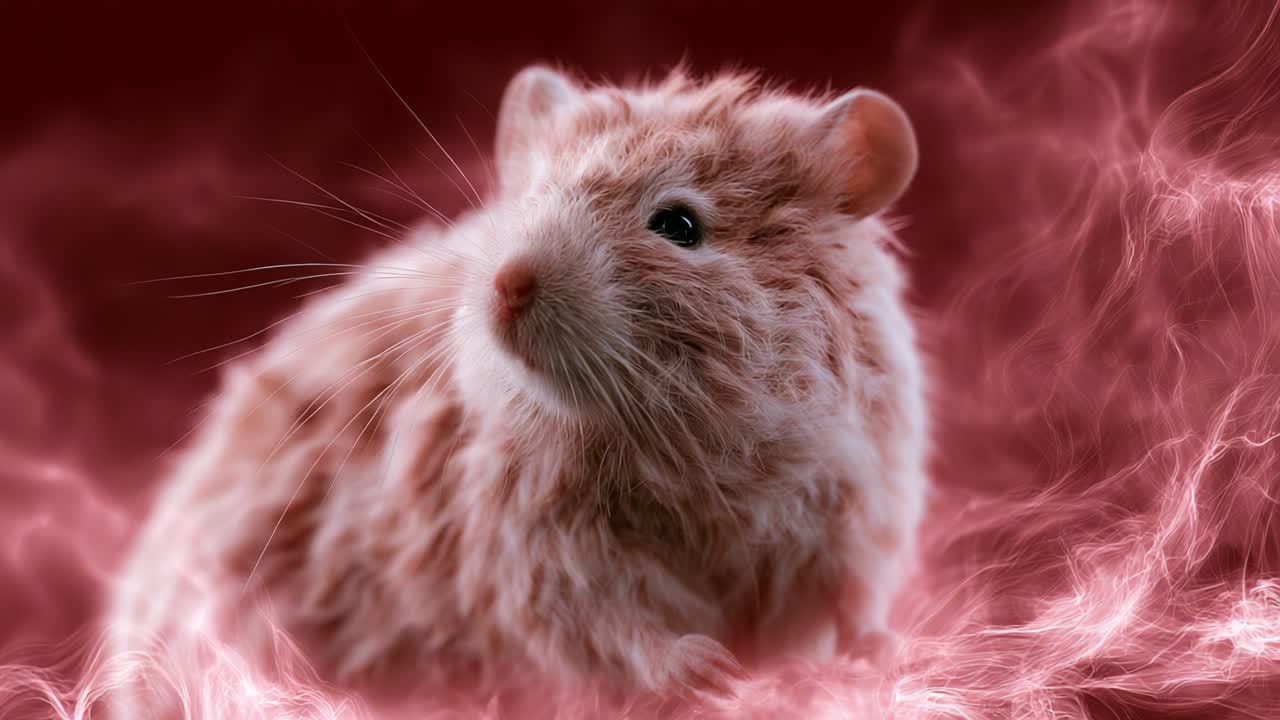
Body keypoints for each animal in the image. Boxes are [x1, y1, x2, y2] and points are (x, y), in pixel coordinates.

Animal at [106, 65, 928, 716]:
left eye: (679, 225)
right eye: (530, 196)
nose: (505, 283)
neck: (679, 428)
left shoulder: (853, 510)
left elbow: (849, 604)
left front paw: (879, 652)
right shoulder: (536, 545)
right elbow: (610, 624)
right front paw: (708, 671)